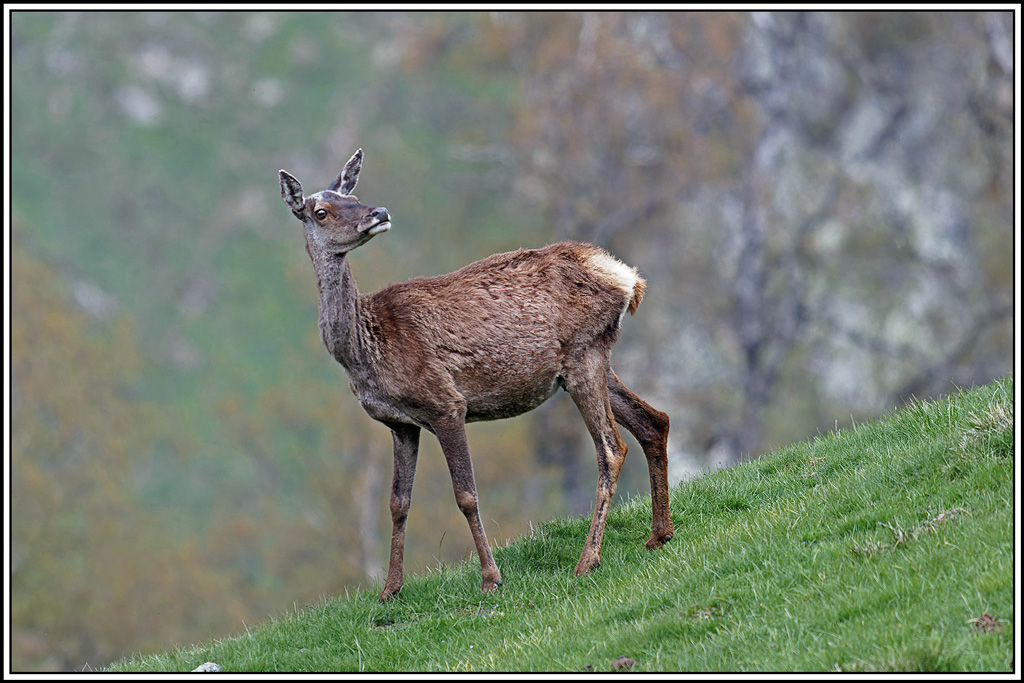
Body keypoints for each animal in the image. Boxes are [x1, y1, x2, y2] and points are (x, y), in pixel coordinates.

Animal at [279, 148, 674, 602]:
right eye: (321, 211)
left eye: (354, 196)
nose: (377, 212)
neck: (365, 353)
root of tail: (628, 278)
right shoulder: (399, 423)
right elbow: (398, 503)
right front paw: (390, 590)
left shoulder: (446, 403)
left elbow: (466, 494)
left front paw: (491, 577)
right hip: (593, 359)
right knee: (654, 420)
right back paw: (659, 534)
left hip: (583, 355)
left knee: (611, 447)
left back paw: (588, 560)